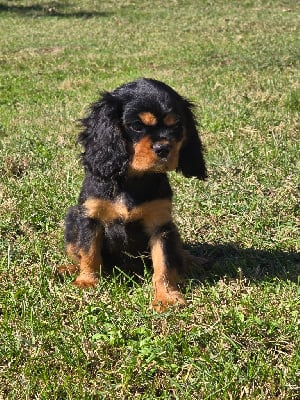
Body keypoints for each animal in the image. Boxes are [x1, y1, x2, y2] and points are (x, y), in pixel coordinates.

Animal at [63, 76, 206, 310]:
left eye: (176, 126)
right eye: (137, 125)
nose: (163, 148)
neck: (133, 179)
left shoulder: (160, 224)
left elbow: (164, 264)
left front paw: (166, 297)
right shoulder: (90, 217)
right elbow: (89, 252)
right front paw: (87, 281)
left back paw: (190, 260)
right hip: (71, 219)